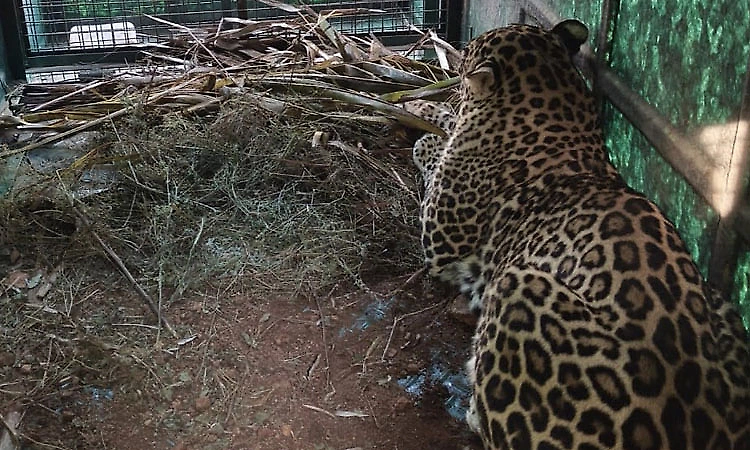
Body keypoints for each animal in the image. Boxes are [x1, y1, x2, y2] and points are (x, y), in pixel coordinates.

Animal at [412, 19, 750, 450]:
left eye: (467, 55)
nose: (454, 66)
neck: (554, 101)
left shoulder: (442, 238)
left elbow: (433, 151)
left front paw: (426, 130)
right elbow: (448, 120)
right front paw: (422, 107)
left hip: (517, 287)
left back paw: (473, 401)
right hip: (723, 306)